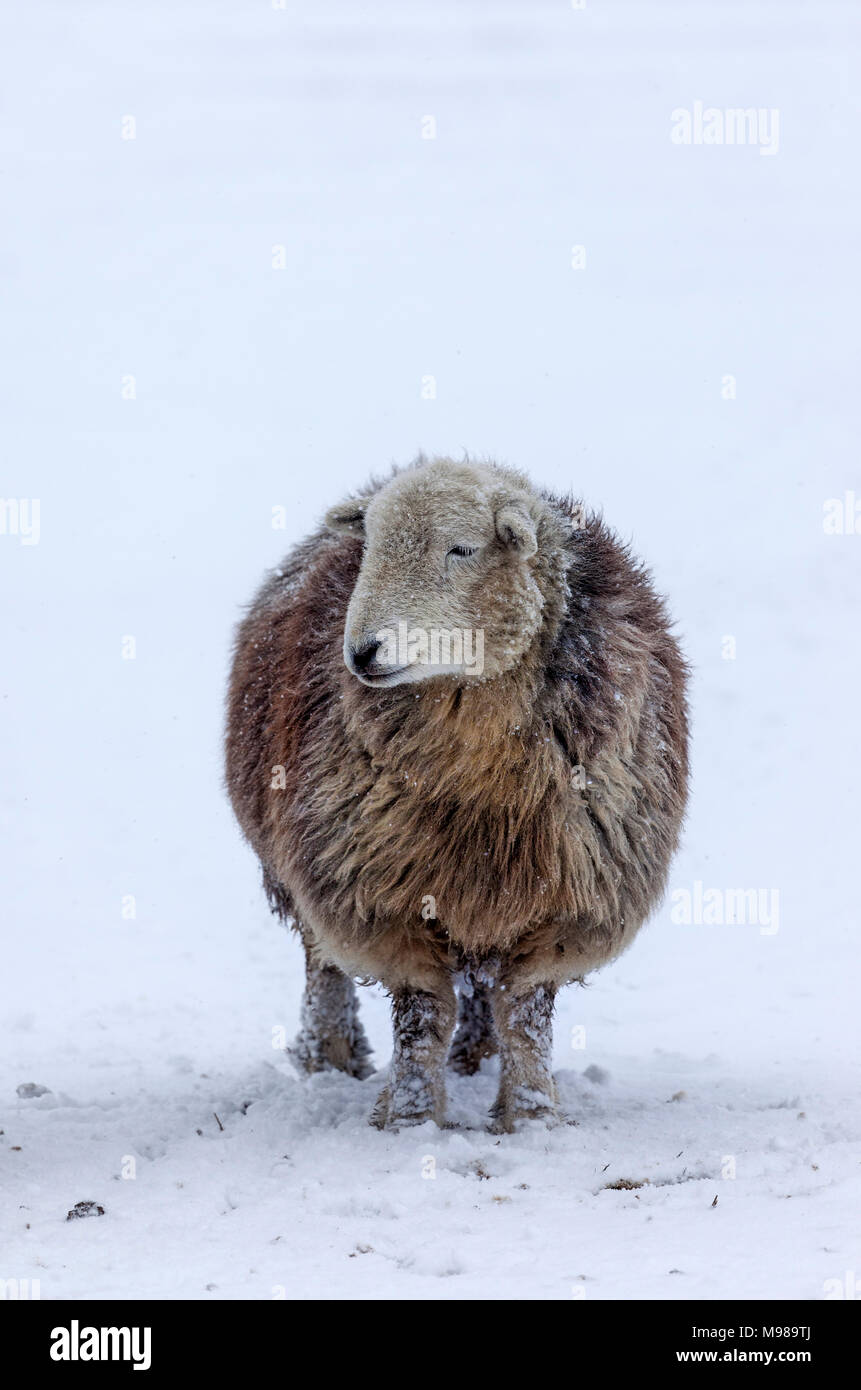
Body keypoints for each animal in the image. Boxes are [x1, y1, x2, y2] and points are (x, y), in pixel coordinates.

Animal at [225, 455, 689, 1128]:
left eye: (461, 549)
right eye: (370, 548)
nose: (362, 651)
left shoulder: (566, 899)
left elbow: (525, 1014)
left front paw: (531, 1114)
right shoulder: (382, 896)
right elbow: (422, 1018)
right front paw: (412, 1116)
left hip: (486, 889)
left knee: (484, 988)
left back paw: (474, 1060)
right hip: (312, 865)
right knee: (323, 962)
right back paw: (327, 1054)